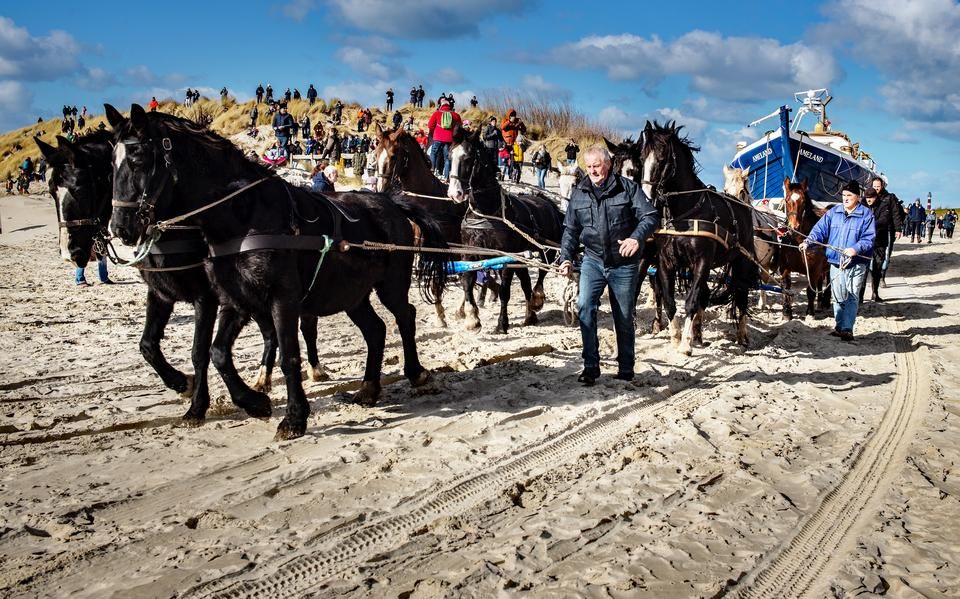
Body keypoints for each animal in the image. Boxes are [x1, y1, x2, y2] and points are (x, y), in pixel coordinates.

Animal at [107, 104, 452, 440]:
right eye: (112, 161)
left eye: (139, 158)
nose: (121, 227)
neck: (245, 216)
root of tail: (391, 202)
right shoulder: (233, 299)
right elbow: (217, 352)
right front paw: (254, 402)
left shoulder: (279, 299)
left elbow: (287, 355)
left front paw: (294, 418)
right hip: (351, 294)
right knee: (376, 329)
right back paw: (368, 389)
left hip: (391, 284)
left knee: (405, 316)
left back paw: (416, 373)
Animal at [448, 129, 568, 336]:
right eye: (450, 156)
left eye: (468, 158)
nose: (454, 193)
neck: (488, 212)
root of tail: (549, 203)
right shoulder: (471, 253)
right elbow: (467, 282)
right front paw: (473, 319)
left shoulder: (507, 258)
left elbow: (504, 291)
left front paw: (501, 323)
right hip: (522, 256)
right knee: (526, 281)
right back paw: (530, 314)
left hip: (545, 250)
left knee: (541, 273)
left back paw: (537, 299)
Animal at [632, 122, 756, 356]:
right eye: (642, 158)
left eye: (661, 159)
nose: (645, 198)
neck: (685, 213)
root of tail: (743, 206)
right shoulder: (665, 262)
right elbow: (670, 300)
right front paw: (675, 337)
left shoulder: (701, 262)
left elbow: (690, 301)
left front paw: (685, 344)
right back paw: (698, 332)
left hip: (742, 261)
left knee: (741, 294)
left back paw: (742, 336)